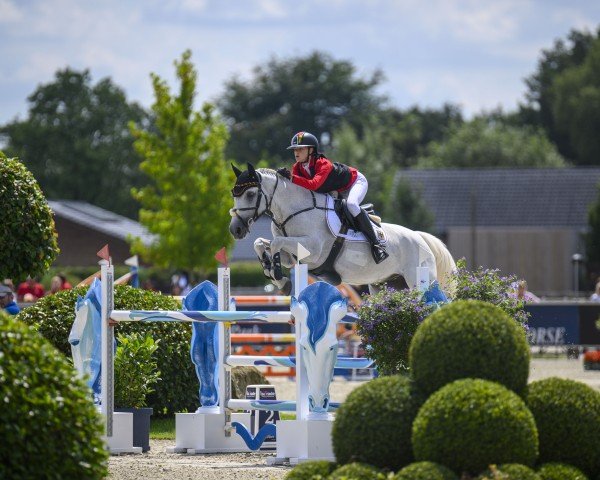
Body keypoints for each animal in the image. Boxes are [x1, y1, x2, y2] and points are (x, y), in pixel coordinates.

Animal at [230, 163, 454, 294]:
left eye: (250, 194)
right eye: (234, 194)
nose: (235, 230)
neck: (293, 211)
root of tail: (419, 237)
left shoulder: (314, 251)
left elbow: (276, 242)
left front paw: (278, 276)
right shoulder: (292, 256)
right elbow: (261, 243)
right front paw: (273, 273)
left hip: (420, 279)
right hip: (386, 285)